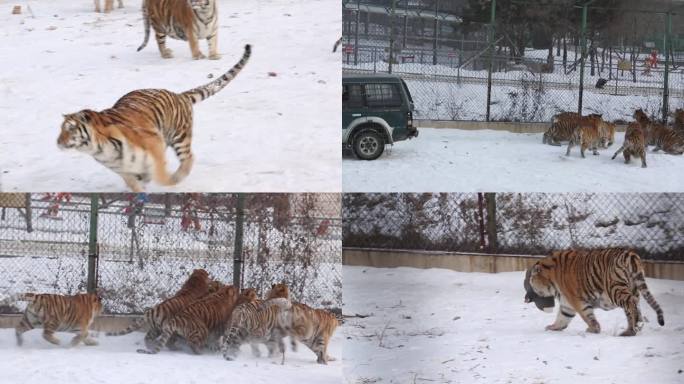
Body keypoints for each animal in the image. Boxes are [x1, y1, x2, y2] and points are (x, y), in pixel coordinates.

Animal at [57, 44, 251, 192]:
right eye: (61, 129)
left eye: (71, 128)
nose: (58, 142)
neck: (99, 149)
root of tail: (179, 95)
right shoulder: (122, 169)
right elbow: (133, 182)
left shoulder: (153, 143)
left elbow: (160, 174)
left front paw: (168, 180)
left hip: (179, 137)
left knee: (189, 157)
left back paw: (178, 176)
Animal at [528, 249, 664, 336]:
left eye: (531, 280)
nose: (529, 294)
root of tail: (630, 254)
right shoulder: (567, 304)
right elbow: (563, 318)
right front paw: (552, 327)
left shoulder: (576, 300)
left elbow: (587, 315)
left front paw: (593, 329)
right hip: (634, 289)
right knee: (634, 307)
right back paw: (635, 328)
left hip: (615, 289)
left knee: (630, 303)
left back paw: (631, 329)